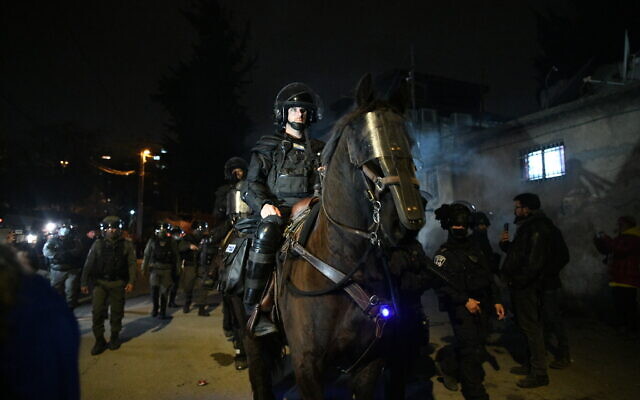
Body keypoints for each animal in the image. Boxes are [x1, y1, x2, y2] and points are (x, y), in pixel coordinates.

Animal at [276, 73, 424, 398]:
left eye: (408, 143)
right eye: (365, 143)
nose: (407, 221)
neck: (343, 264)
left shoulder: (369, 363)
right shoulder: (306, 367)